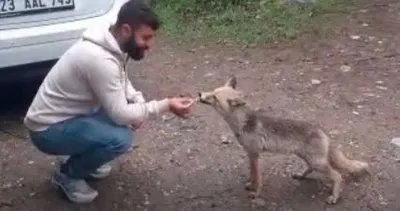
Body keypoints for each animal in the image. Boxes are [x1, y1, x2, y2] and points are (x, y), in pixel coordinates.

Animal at [197, 76, 368, 204]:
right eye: (212, 91)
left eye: (214, 97)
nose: (199, 94)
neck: (243, 124)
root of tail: (322, 130)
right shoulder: (250, 155)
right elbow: (252, 175)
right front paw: (250, 185)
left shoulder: (255, 154)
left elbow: (258, 178)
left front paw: (256, 194)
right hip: (308, 158)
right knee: (311, 169)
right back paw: (300, 175)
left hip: (316, 162)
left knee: (337, 176)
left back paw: (334, 197)